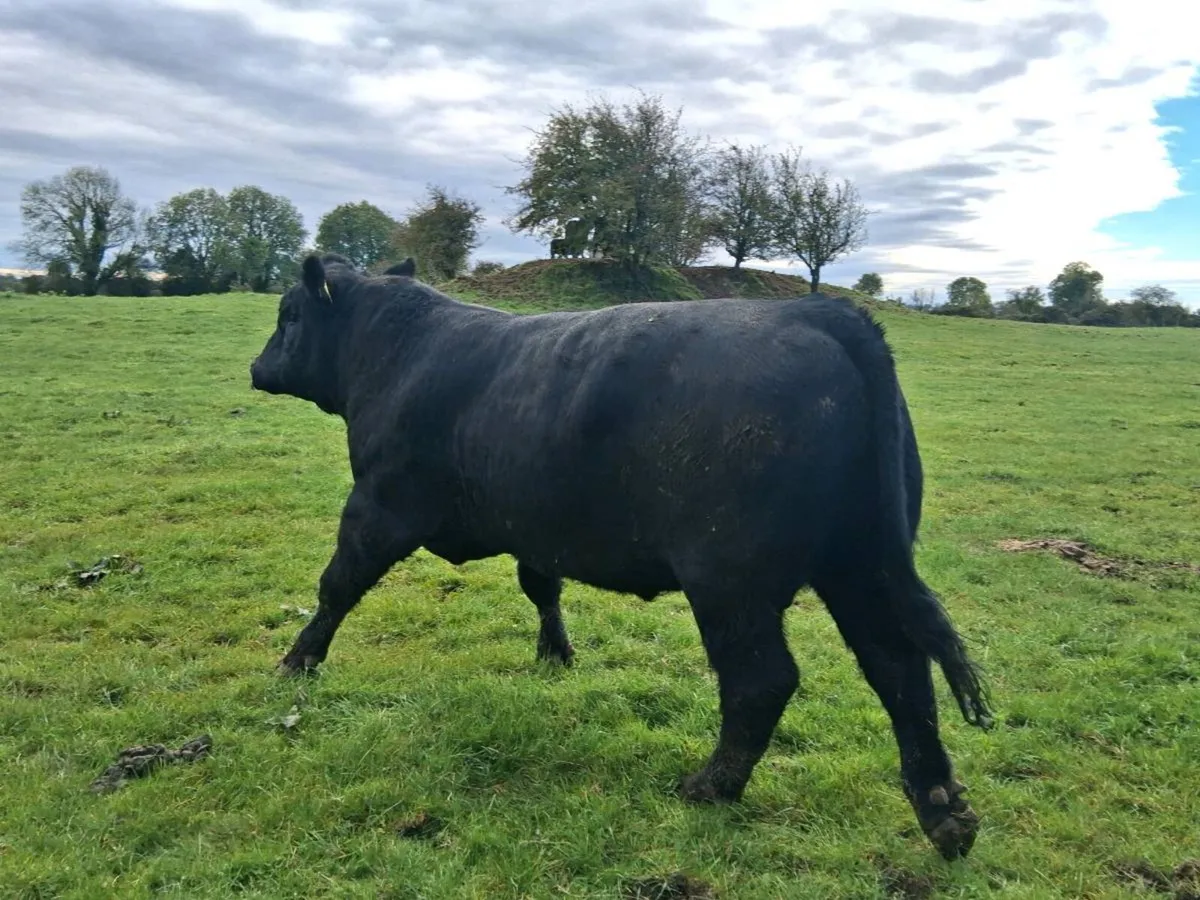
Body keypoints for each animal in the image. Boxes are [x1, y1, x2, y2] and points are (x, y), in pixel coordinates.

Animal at [249, 253, 993, 860]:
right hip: (861, 564)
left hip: (731, 581)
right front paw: (555, 655)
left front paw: (297, 661)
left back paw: (710, 786)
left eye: (289, 315)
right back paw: (941, 809)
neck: (399, 354)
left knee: (764, 681)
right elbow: (541, 587)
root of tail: (822, 312)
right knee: (899, 669)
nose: (257, 368)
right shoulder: (535, 524)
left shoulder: (379, 505)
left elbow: (337, 586)